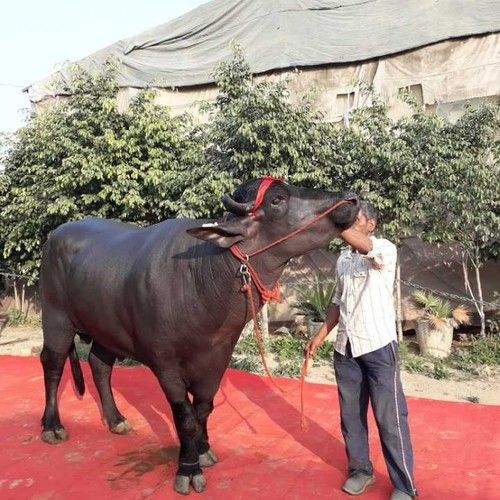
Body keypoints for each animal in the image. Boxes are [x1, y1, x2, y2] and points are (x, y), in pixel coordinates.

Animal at [40, 178, 360, 494]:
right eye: (277, 200)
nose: (351, 199)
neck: (202, 282)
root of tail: (55, 236)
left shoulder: (217, 359)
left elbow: (204, 409)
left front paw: (203, 450)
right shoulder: (165, 365)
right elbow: (185, 417)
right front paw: (188, 468)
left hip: (107, 330)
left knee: (99, 364)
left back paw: (116, 420)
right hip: (56, 319)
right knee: (52, 363)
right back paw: (52, 426)